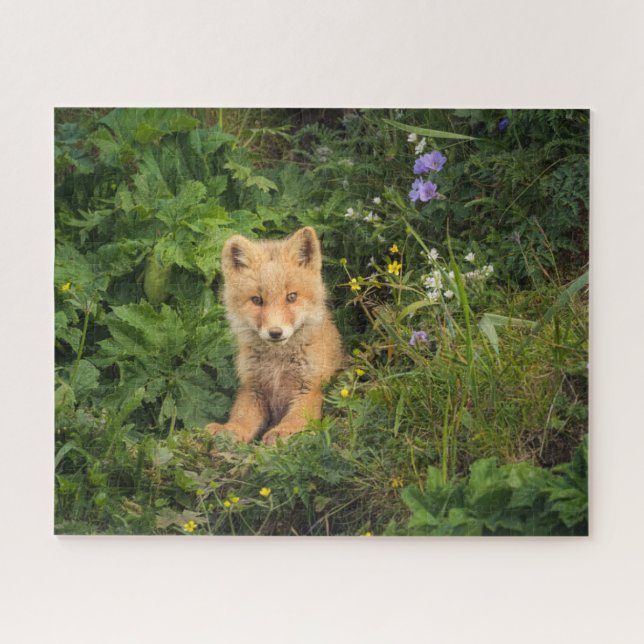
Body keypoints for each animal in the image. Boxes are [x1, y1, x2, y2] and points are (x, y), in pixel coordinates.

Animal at [206, 226, 343, 446]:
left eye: (291, 297)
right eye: (257, 300)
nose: (275, 332)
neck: (278, 364)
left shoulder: (309, 388)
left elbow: (296, 419)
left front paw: (282, 432)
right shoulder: (252, 388)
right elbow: (242, 418)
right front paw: (230, 430)